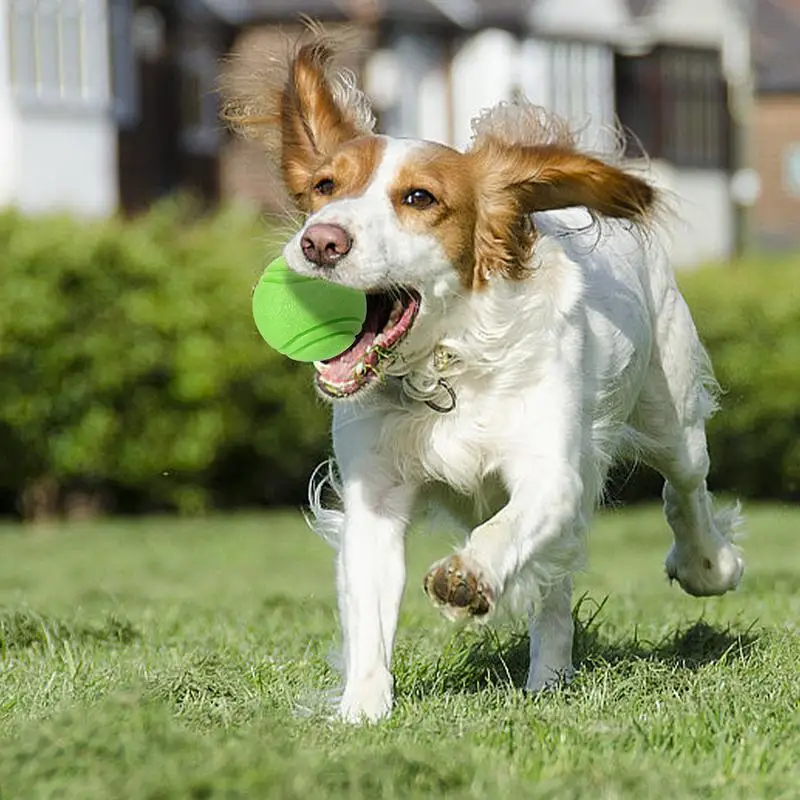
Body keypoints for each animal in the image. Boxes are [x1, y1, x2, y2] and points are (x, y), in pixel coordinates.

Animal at [223, 29, 744, 724]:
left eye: (420, 198)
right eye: (325, 185)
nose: (320, 241)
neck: (448, 366)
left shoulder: (552, 473)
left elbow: (506, 530)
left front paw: (466, 578)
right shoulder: (375, 496)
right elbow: (371, 611)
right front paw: (362, 710)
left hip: (672, 411)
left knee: (685, 489)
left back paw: (707, 566)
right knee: (556, 584)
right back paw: (549, 677)